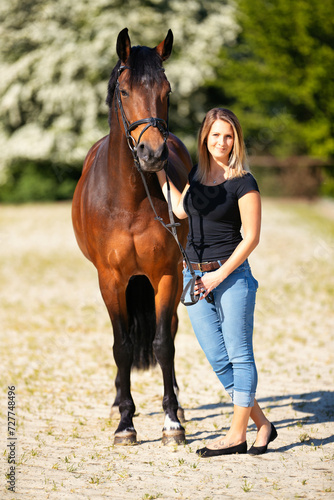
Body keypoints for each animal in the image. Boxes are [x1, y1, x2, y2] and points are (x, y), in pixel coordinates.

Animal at [72, 28, 193, 446]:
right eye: (124, 91)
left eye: (167, 91)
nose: (152, 153)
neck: (130, 200)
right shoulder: (111, 280)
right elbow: (121, 346)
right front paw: (125, 422)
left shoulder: (167, 275)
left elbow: (163, 343)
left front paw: (171, 422)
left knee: (168, 331)